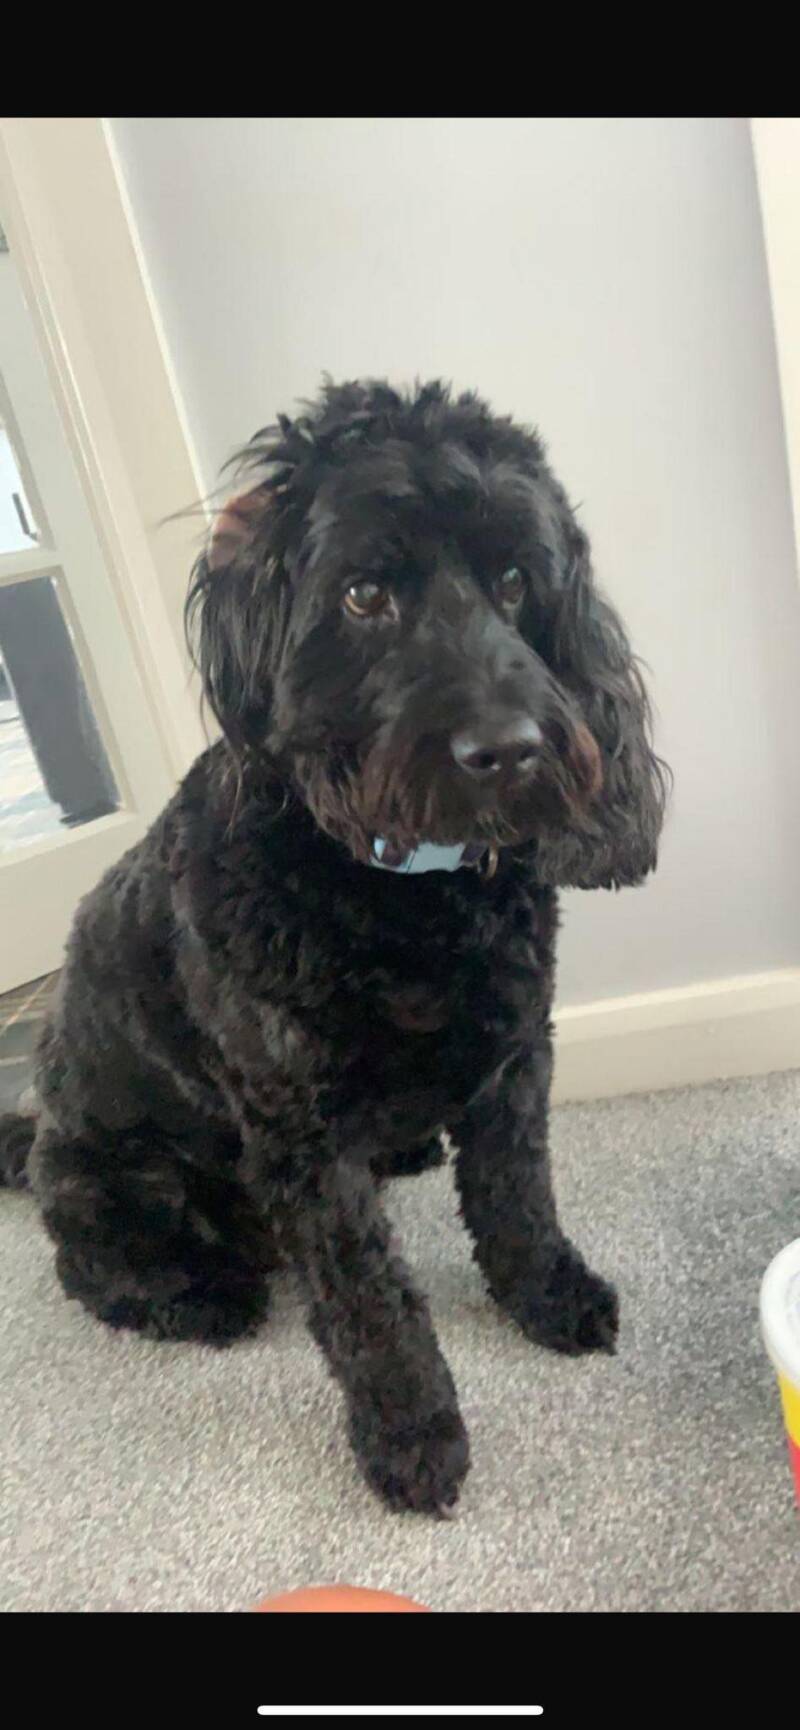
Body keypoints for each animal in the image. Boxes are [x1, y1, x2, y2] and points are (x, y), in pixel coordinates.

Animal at [0, 379, 668, 1515]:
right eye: (362, 595)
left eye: (514, 580)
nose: (508, 751)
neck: (411, 894)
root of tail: (36, 1134)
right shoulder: (300, 1139)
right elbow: (369, 1301)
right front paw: (412, 1434)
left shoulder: (513, 1060)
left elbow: (517, 1197)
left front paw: (548, 1294)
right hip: (122, 1187)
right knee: (101, 1271)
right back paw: (204, 1293)